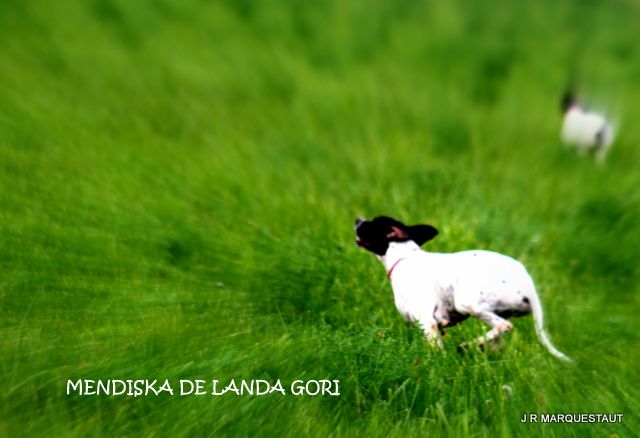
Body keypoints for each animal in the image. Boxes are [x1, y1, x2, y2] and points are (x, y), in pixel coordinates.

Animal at [356, 216, 568, 362]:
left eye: (370, 225)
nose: (358, 220)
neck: (404, 257)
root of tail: (527, 282)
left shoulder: (428, 323)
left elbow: (436, 351)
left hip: (467, 302)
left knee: (503, 326)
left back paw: (467, 346)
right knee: (498, 338)